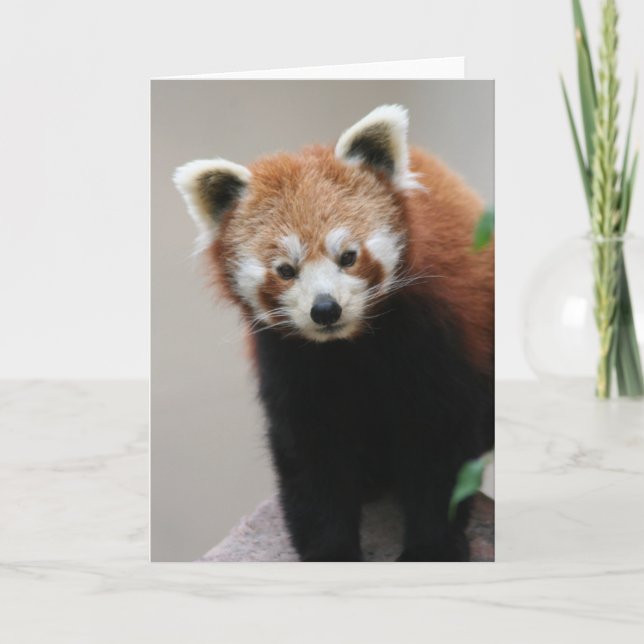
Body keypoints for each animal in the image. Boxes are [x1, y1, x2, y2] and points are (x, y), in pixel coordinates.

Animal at [174, 105, 494, 561]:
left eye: (348, 256)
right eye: (285, 270)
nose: (325, 309)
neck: (346, 347)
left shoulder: (435, 334)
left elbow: (439, 448)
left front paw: (432, 547)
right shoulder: (287, 363)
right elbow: (312, 461)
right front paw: (331, 550)